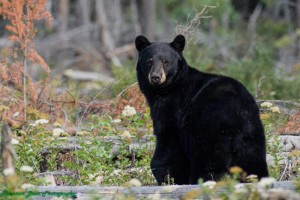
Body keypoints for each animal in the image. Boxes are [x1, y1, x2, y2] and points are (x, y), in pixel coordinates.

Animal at [135, 34, 268, 184]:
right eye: (149, 61)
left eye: (166, 61)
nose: (156, 77)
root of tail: (237, 107)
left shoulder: (172, 110)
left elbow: (167, 142)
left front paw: (167, 176)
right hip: (251, 132)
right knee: (253, 160)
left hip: (208, 128)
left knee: (207, 160)